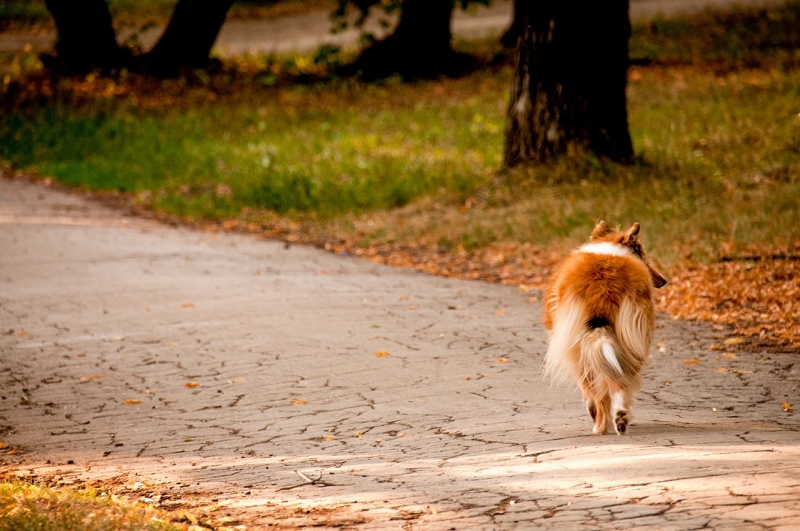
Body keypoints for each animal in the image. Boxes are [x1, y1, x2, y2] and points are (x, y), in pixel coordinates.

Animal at [540, 221, 664, 436]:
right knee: (621, 379)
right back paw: (620, 417)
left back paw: (600, 425)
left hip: (577, 349)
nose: (663, 281)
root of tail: (602, 288)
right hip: (630, 339)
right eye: (644, 256)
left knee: (598, 388)